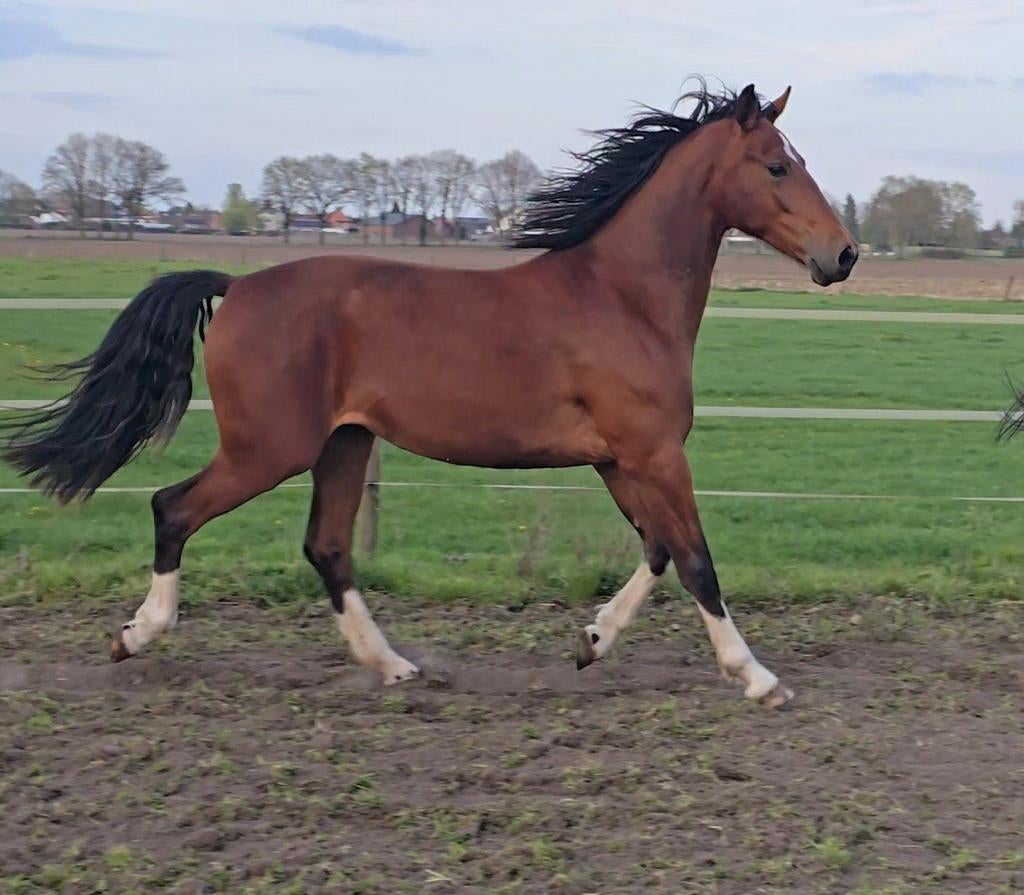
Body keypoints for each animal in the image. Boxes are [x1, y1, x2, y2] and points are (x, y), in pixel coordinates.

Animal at [2, 82, 857, 707]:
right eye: (776, 165)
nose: (842, 254)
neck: (624, 297)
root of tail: (237, 284)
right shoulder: (652, 452)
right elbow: (697, 560)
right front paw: (758, 677)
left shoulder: (622, 459)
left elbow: (656, 549)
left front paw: (590, 642)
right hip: (267, 448)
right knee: (173, 508)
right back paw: (136, 635)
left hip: (343, 443)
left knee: (327, 546)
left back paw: (396, 667)